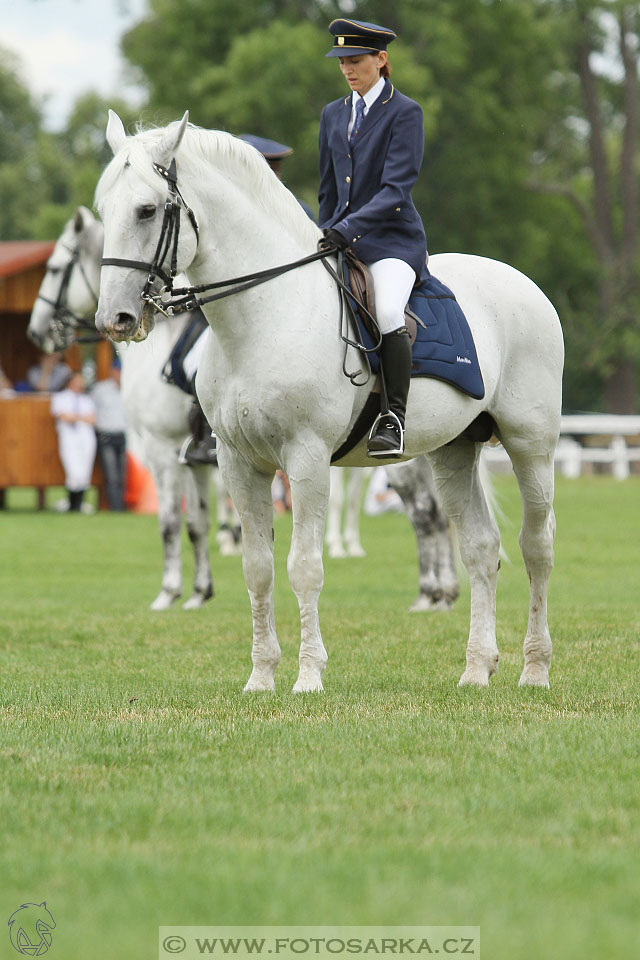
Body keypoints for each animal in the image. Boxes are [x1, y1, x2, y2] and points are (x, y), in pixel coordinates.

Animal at [25, 207, 238, 612]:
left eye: (56, 269)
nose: (35, 332)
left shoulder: (161, 447)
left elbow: (170, 523)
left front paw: (169, 592)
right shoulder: (192, 454)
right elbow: (196, 524)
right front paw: (200, 592)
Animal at [92, 116, 564, 692]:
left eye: (146, 210)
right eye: (103, 209)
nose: (113, 319)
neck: (264, 317)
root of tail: (522, 283)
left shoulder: (307, 458)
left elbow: (304, 567)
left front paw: (308, 676)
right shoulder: (236, 461)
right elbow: (258, 567)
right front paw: (261, 677)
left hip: (530, 444)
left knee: (536, 546)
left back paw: (535, 668)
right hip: (453, 451)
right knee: (480, 547)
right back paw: (477, 669)